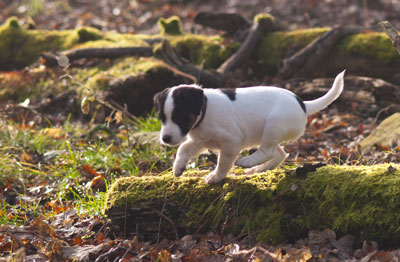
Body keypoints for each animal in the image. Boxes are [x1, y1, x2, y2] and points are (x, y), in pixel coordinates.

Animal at [155, 70, 346, 183]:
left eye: (179, 117)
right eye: (161, 118)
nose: (165, 139)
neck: (204, 109)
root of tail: (303, 104)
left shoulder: (231, 142)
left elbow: (223, 162)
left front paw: (216, 176)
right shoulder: (200, 141)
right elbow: (183, 149)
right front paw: (178, 168)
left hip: (272, 125)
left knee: (268, 151)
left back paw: (248, 162)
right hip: (269, 134)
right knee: (280, 153)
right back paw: (258, 169)